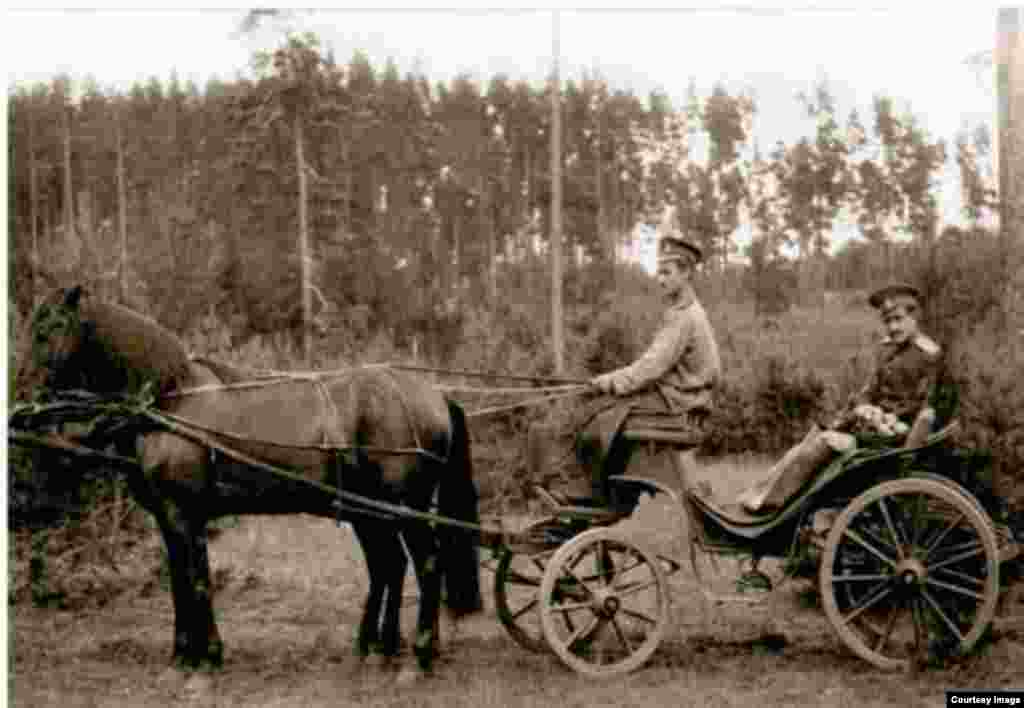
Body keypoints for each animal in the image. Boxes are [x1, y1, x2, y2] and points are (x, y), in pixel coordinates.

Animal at [14, 284, 479, 680]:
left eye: (47, 330)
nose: (20, 401)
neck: (171, 401)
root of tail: (434, 395)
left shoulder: (185, 515)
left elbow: (198, 579)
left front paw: (208, 658)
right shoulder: (169, 518)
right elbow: (179, 580)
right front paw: (183, 654)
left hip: (404, 507)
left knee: (427, 563)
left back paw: (419, 655)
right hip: (368, 511)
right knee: (390, 565)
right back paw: (377, 649)